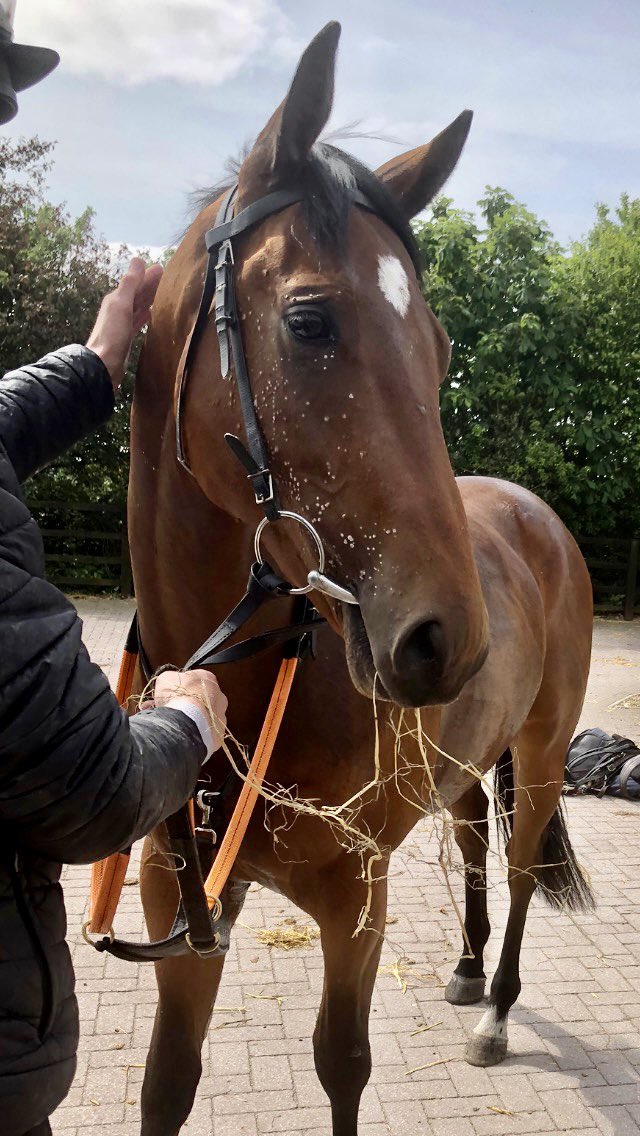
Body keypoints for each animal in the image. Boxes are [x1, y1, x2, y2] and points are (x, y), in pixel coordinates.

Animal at [128, 22, 593, 1136]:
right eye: (308, 320)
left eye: (442, 344)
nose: (445, 640)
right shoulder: (181, 907)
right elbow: (168, 1080)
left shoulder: (356, 901)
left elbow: (342, 1063)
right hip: (471, 766)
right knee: (473, 843)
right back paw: (465, 972)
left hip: (542, 754)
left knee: (518, 868)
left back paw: (496, 1010)